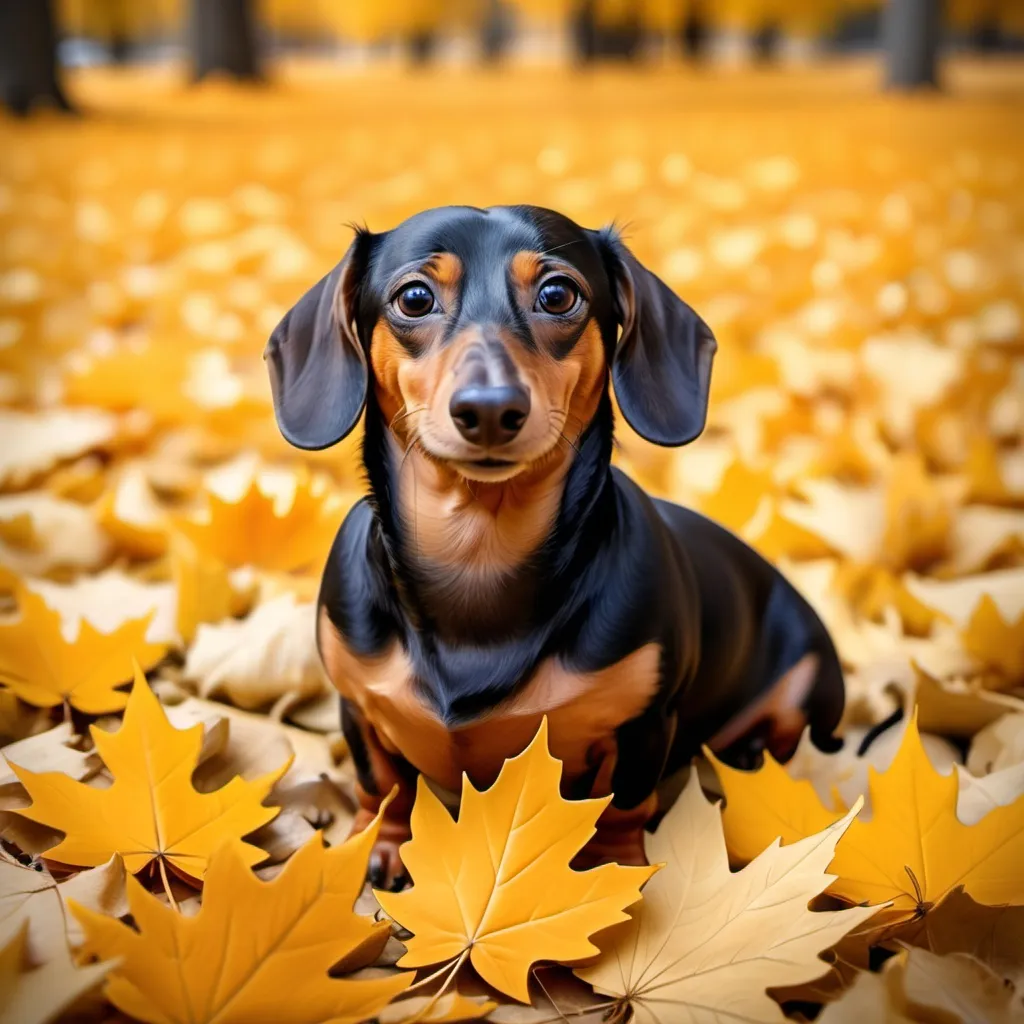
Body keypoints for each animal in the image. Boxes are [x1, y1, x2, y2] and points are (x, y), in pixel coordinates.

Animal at [268, 203, 843, 884]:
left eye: (558, 294)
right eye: (414, 298)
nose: (490, 409)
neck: (478, 555)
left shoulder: (644, 723)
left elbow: (623, 803)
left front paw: (615, 870)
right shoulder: (358, 705)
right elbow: (382, 784)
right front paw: (380, 846)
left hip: (807, 688)